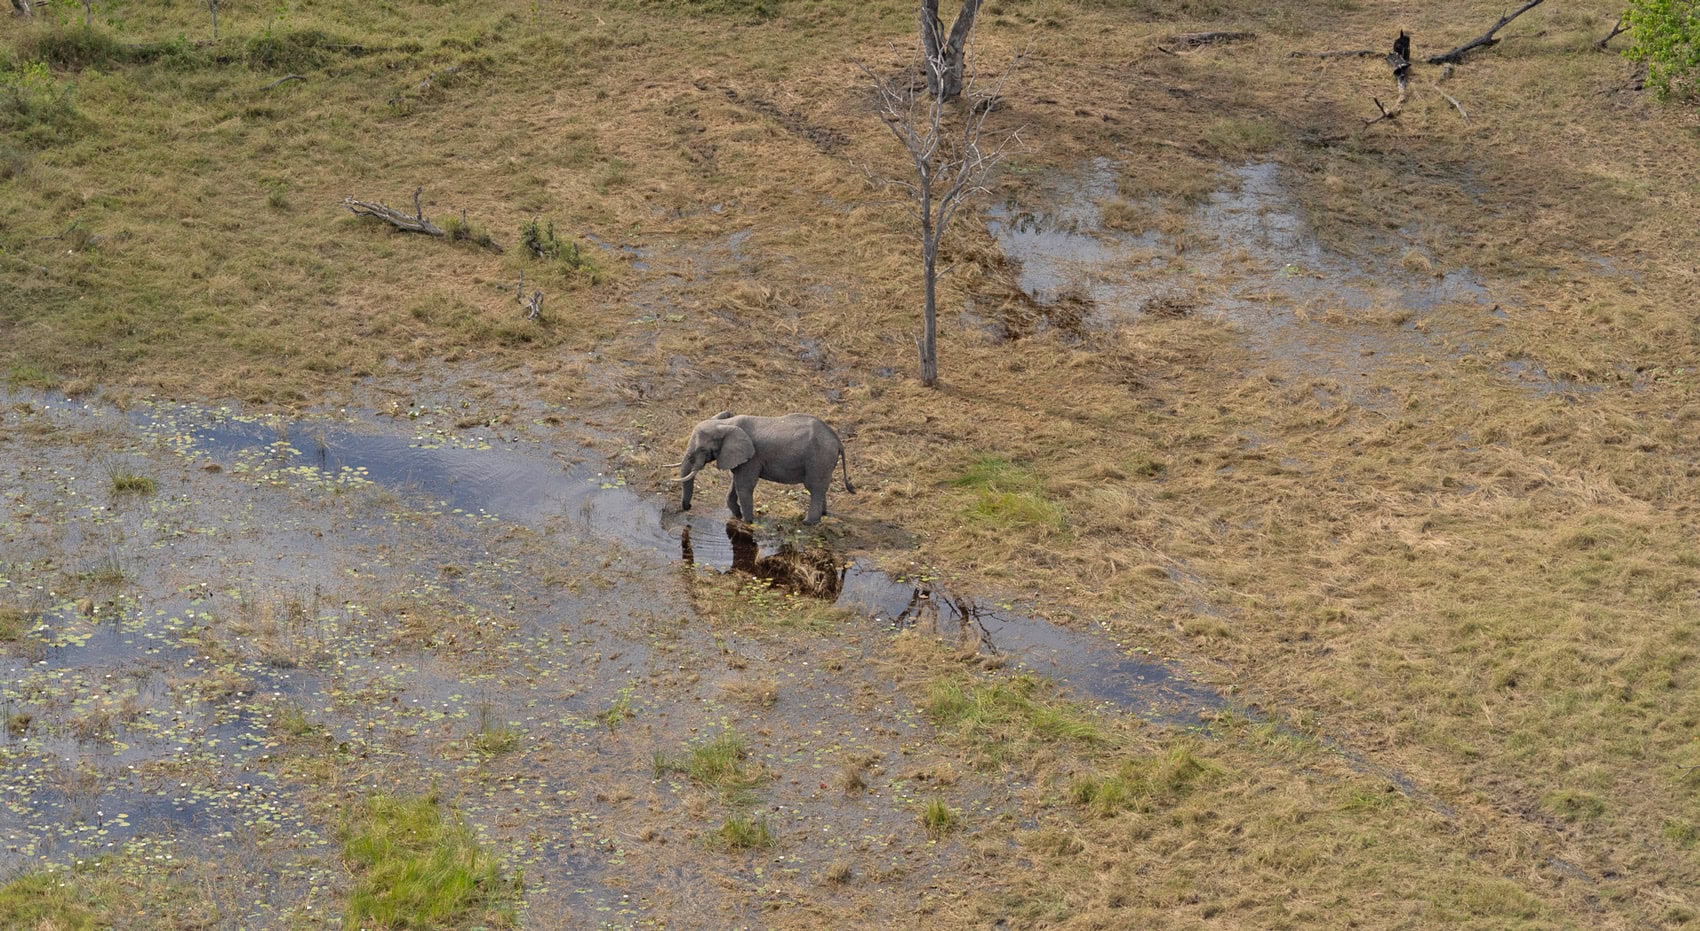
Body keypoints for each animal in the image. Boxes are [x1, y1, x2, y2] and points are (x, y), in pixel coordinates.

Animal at [671, 412, 854, 525]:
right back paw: (823, 515)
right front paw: (737, 516)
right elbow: (735, 482)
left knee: (814, 487)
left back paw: (808, 523)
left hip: (819, 459)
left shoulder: (753, 457)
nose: (688, 507)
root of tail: (838, 440)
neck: (723, 424)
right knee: (821, 488)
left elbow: (744, 485)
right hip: (823, 461)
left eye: (702, 450)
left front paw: (747, 522)